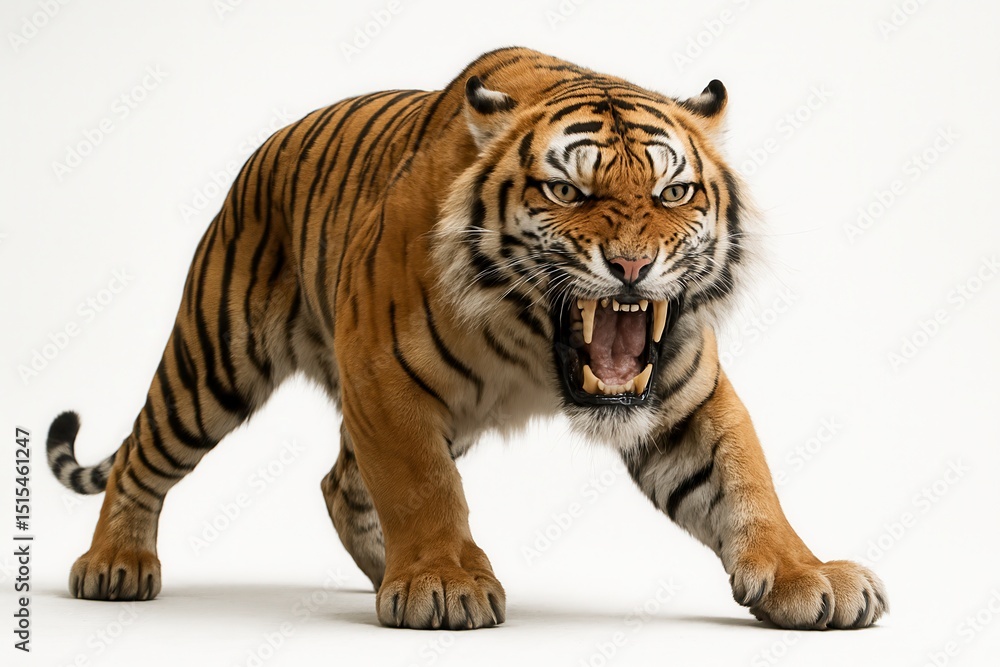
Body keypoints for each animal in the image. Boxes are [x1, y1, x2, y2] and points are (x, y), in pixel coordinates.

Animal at [46, 46, 887, 630]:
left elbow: (745, 481)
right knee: (144, 454)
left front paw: (808, 575)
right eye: (567, 190)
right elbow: (423, 485)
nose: (632, 266)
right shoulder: (384, 378)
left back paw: (384, 567)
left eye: (672, 191)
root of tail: (268, 145)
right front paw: (445, 580)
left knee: (340, 481)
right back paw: (115, 565)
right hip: (213, 360)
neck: (535, 344)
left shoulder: (684, 394)